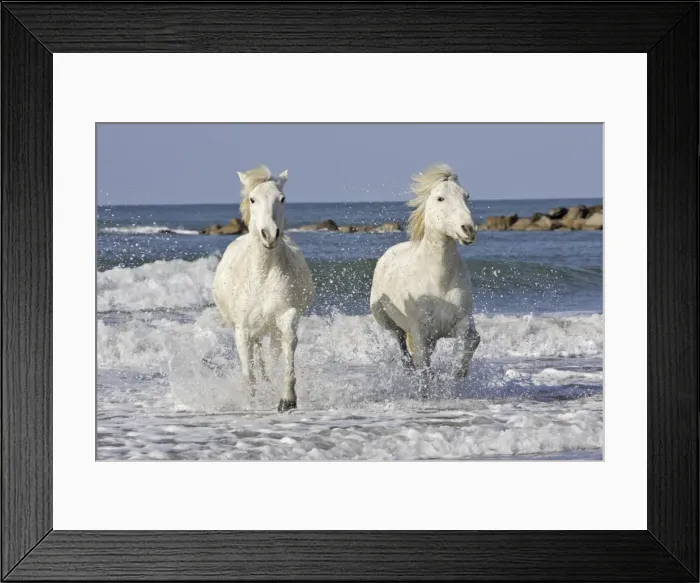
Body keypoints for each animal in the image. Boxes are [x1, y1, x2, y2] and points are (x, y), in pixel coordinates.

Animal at [213, 165, 315, 412]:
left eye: (282, 198)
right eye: (252, 199)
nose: (269, 234)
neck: (262, 275)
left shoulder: (286, 316)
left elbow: (288, 346)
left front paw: (287, 399)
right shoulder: (242, 329)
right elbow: (247, 369)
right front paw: (251, 400)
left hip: (270, 329)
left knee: (269, 355)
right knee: (257, 355)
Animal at [369, 163, 481, 394]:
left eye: (466, 195)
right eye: (440, 198)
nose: (468, 230)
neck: (439, 281)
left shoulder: (460, 323)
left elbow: (469, 343)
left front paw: (457, 375)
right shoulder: (420, 333)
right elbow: (423, 368)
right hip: (389, 322)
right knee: (402, 348)